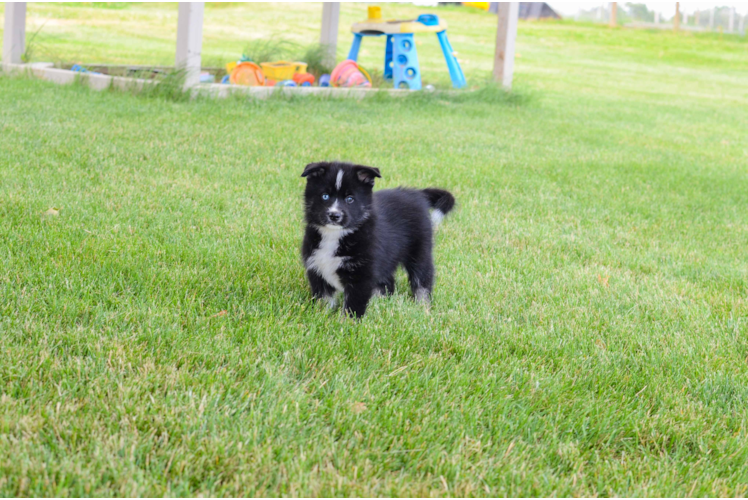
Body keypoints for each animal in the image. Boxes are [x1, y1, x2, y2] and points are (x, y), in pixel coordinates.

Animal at [300, 162, 452, 318]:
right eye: (325, 196)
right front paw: (321, 315)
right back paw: (381, 302)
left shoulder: (362, 274)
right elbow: (324, 299)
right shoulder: (317, 268)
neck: (335, 235)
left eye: (350, 199)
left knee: (422, 279)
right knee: (387, 282)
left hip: (420, 250)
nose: (334, 215)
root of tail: (416, 193)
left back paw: (423, 307)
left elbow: (353, 304)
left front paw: (348, 322)